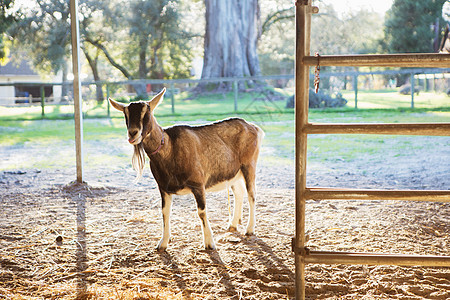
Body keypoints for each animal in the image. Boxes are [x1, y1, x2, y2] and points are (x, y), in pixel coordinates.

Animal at [109, 87, 264, 251]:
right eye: (125, 114)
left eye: (147, 113)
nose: (133, 133)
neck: (170, 147)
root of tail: (254, 127)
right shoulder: (163, 188)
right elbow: (165, 212)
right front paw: (162, 243)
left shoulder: (198, 184)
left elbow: (201, 212)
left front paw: (209, 243)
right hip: (232, 173)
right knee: (239, 193)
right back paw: (233, 225)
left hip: (249, 165)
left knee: (252, 195)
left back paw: (249, 229)